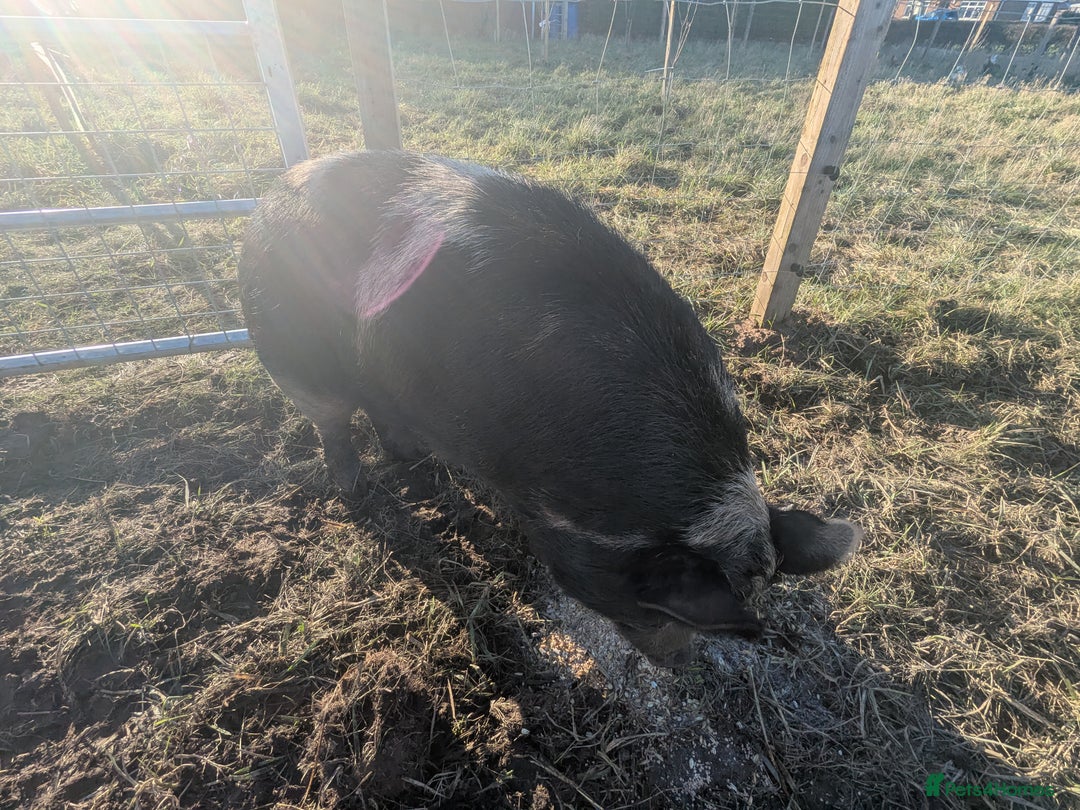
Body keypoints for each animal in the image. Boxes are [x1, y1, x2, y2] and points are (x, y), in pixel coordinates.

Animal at [238, 150, 862, 667]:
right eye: (655, 606)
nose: (682, 665)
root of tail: (268, 197)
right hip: (292, 352)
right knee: (331, 422)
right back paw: (354, 487)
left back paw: (411, 458)